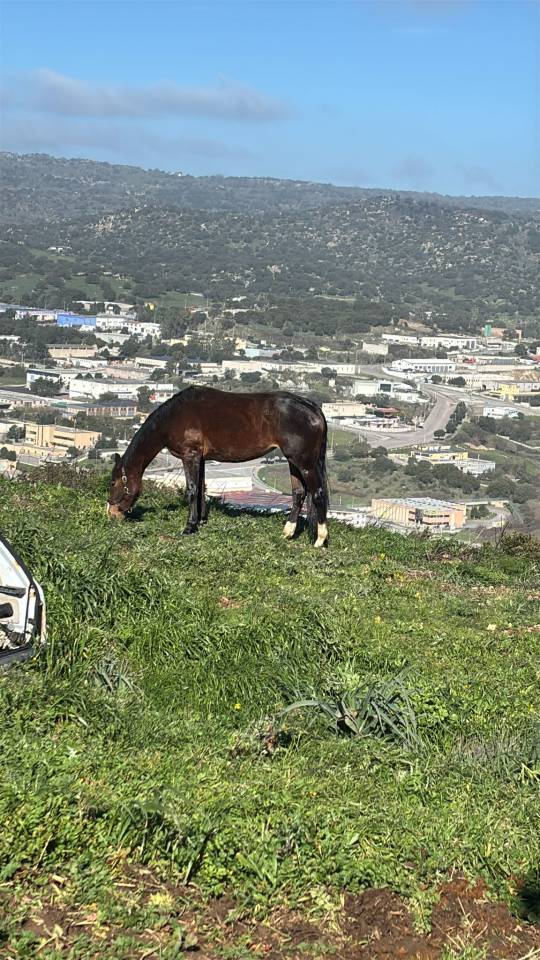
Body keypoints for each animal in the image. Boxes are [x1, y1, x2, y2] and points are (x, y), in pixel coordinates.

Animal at [107, 385, 329, 547]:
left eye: (113, 482)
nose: (111, 513)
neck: (174, 417)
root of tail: (313, 408)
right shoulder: (201, 458)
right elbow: (201, 489)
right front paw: (201, 520)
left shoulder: (190, 455)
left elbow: (192, 489)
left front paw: (189, 527)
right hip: (293, 461)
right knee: (299, 493)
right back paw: (288, 532)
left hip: (305, 462)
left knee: (317, 493)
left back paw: (320, 540)